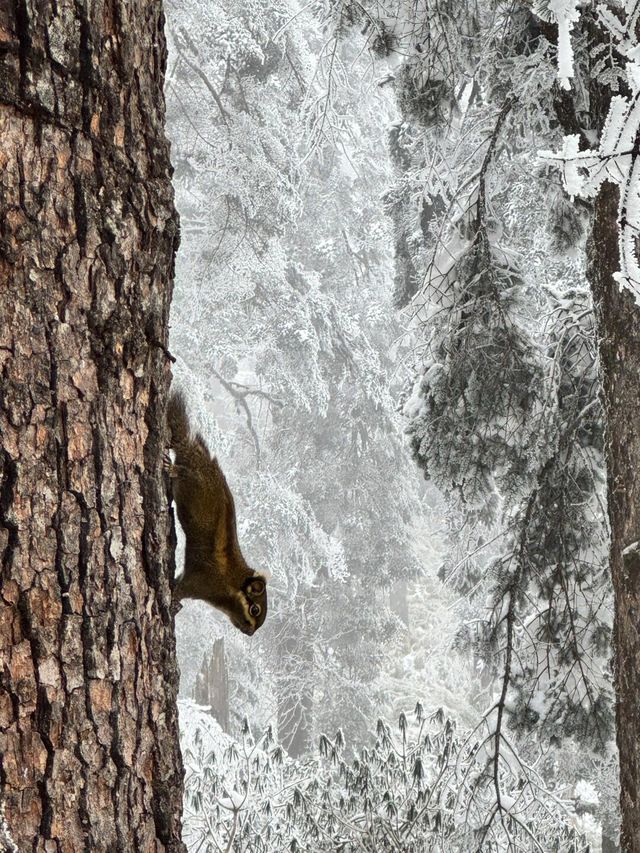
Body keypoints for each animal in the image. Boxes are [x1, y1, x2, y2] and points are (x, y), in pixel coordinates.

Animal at [166, 392, 268, 632]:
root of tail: (198, 460)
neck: (231, 584)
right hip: (193, 484)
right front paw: (174, 600)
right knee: (183, 472)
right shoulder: (200, 582)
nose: (250, 633)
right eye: (255, 610)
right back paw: (173, 469)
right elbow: (182, 589)